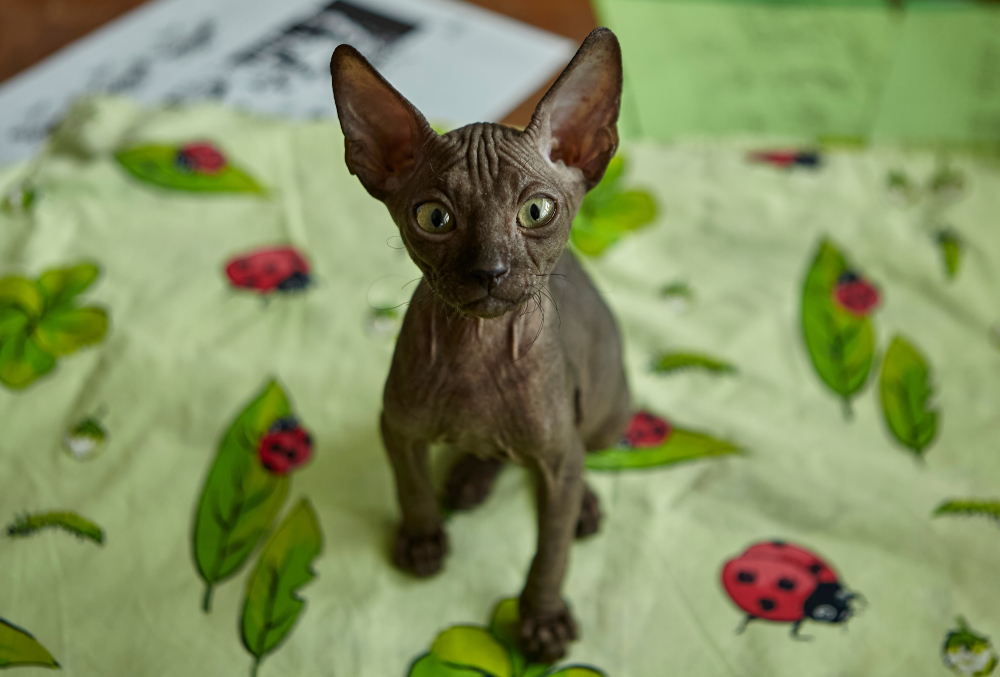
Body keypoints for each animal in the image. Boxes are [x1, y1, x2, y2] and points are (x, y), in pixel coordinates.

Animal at [334, 27, 632, 660]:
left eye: (535, 211)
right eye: (434, 217)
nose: (488, 270)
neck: (479, 350)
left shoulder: (556, 457)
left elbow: (551, 552)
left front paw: (542, 619)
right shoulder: (396, 426)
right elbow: (412, 487)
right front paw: (422, 540)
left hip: (605, 407)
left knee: (583, 456)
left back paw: (581, 503)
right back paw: (471, 474)